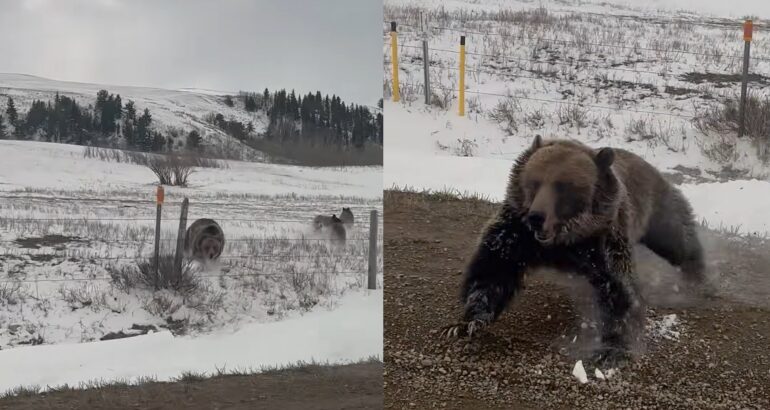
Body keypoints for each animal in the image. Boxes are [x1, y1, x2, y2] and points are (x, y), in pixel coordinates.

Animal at [440, 135, 705, 367]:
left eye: (564, 186)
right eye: (534, 181)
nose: (537, 217)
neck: (565, 240)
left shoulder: (603, 240)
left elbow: (619, 289)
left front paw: (611, 349)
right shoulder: (516, 233)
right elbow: (492, 270)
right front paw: (464, 324)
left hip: (657, 209)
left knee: (679, 241)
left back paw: (698, 276)